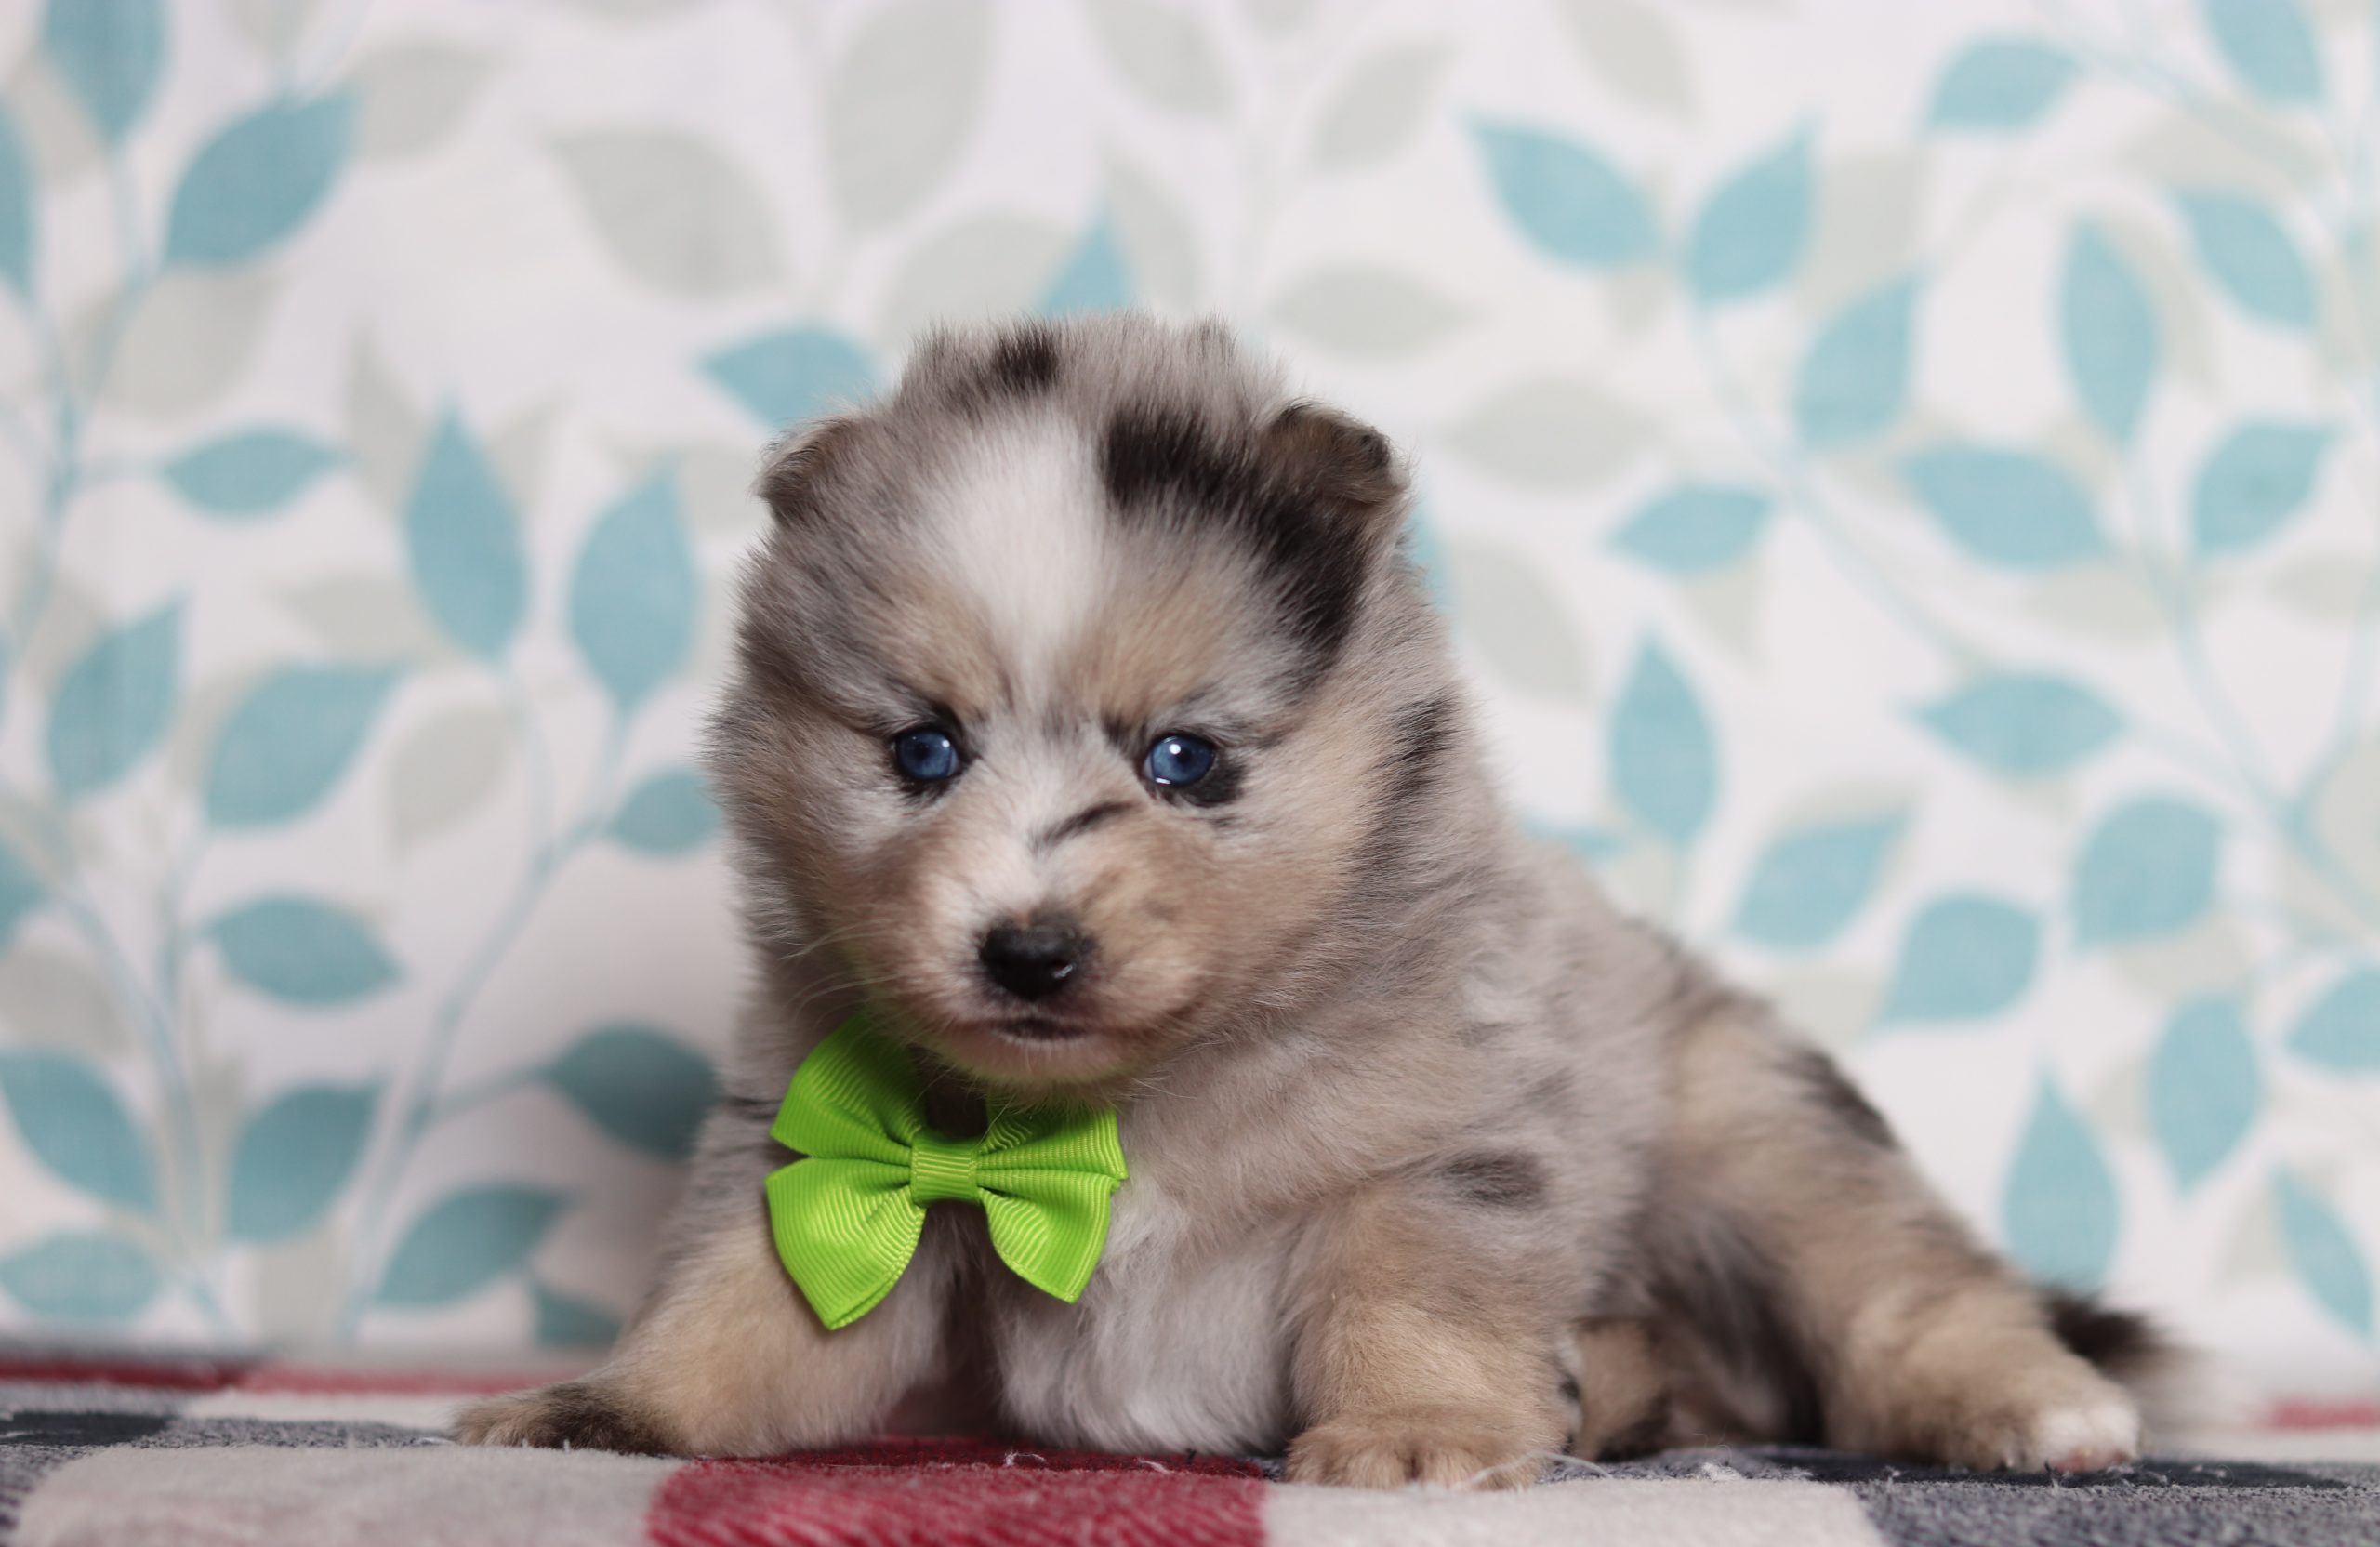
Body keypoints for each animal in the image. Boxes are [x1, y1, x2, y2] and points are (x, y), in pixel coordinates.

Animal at [456, 314, 2170, 1486]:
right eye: (923, 751)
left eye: (1186, 759)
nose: (1028, 949)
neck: (1110, 1116)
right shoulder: (816, 1151)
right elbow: (744, 1316)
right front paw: (612, 1405)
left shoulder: (1439, 1148)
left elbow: (1411, 1297)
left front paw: (1417, 1429)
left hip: (1759, 1134)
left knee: (1901, 1286)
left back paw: (2031, 1403)